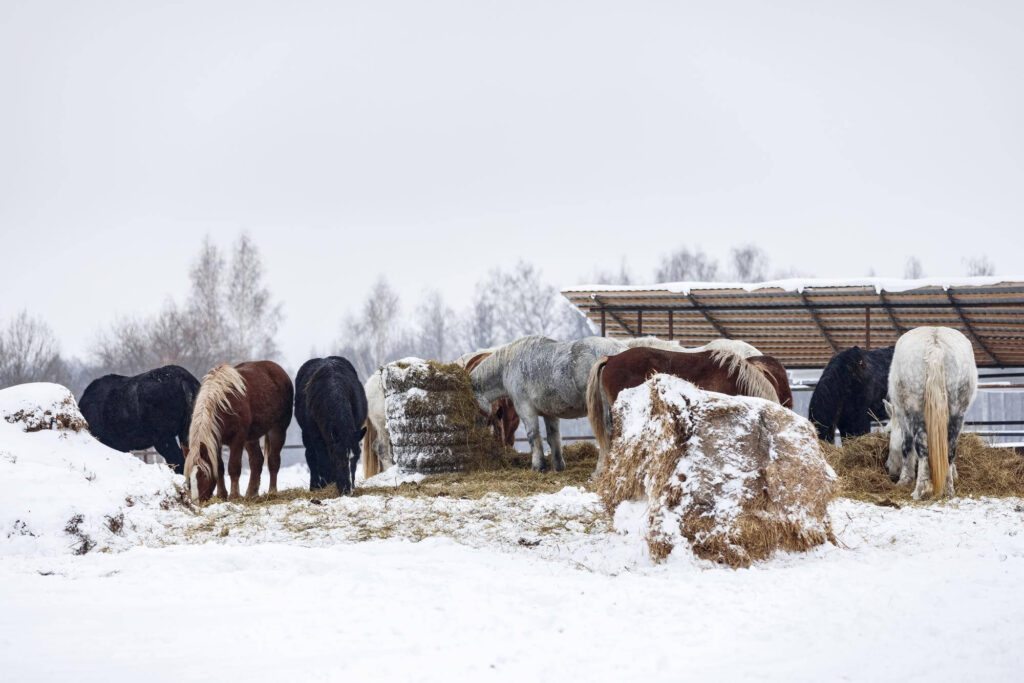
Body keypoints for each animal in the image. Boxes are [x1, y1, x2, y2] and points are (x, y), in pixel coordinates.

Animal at [184, 362, 294, 501]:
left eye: (203, 474)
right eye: (189, 477)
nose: (197, 501)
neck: (223, 404)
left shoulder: (238, 439)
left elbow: (234, 467)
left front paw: (234, 495)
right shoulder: (216, 441)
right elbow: (219, 468)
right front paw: (221, 494)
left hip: (278, 429)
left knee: (273, 460)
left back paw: (272, 491)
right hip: (251, 437)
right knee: (256, 461)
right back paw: (251, 493)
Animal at [292, 358, 368, 497]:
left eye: (357, 458)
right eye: (338, 458)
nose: (348, 490)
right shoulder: (316, 437)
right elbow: (323, 461)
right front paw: (326, 484)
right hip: (307, 436)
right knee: (311, 456)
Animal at [468, 335, 622, 471]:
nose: (475, 433)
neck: (509, 364)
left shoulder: (526, 410)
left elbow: (534, 436)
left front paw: (538, 466)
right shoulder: (550, 412)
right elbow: (553, 438)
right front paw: (558, 466)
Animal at [880, 327, 974, 499]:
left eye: (888, 431)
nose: (889, 469)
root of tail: (935, 344)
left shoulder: (903, 417)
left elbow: (906, 446)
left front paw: (904, 479)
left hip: (916, 411)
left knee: (922, 448)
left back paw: (920, 491)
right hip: (956, 412)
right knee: (949, 450)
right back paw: (948, 489)